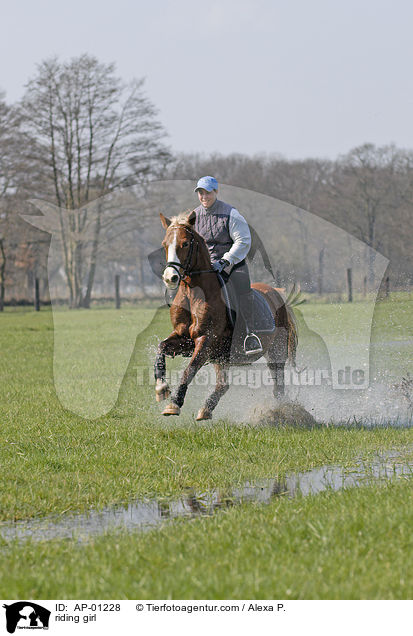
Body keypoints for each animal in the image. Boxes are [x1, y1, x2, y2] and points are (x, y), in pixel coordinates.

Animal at [154, 210, 296, 422]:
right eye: (165, 244)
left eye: (185, 243)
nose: (170, 277)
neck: (194, 293)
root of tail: (277, 293)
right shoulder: (184, 338)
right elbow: (161, 348)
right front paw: (161, 387)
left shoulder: (205, 340)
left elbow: (190, 369)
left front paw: (174, 403)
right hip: (221, 357)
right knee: (223, 384)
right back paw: (206, 409)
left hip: (275, 351)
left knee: (278, 385)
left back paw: (280, 412)